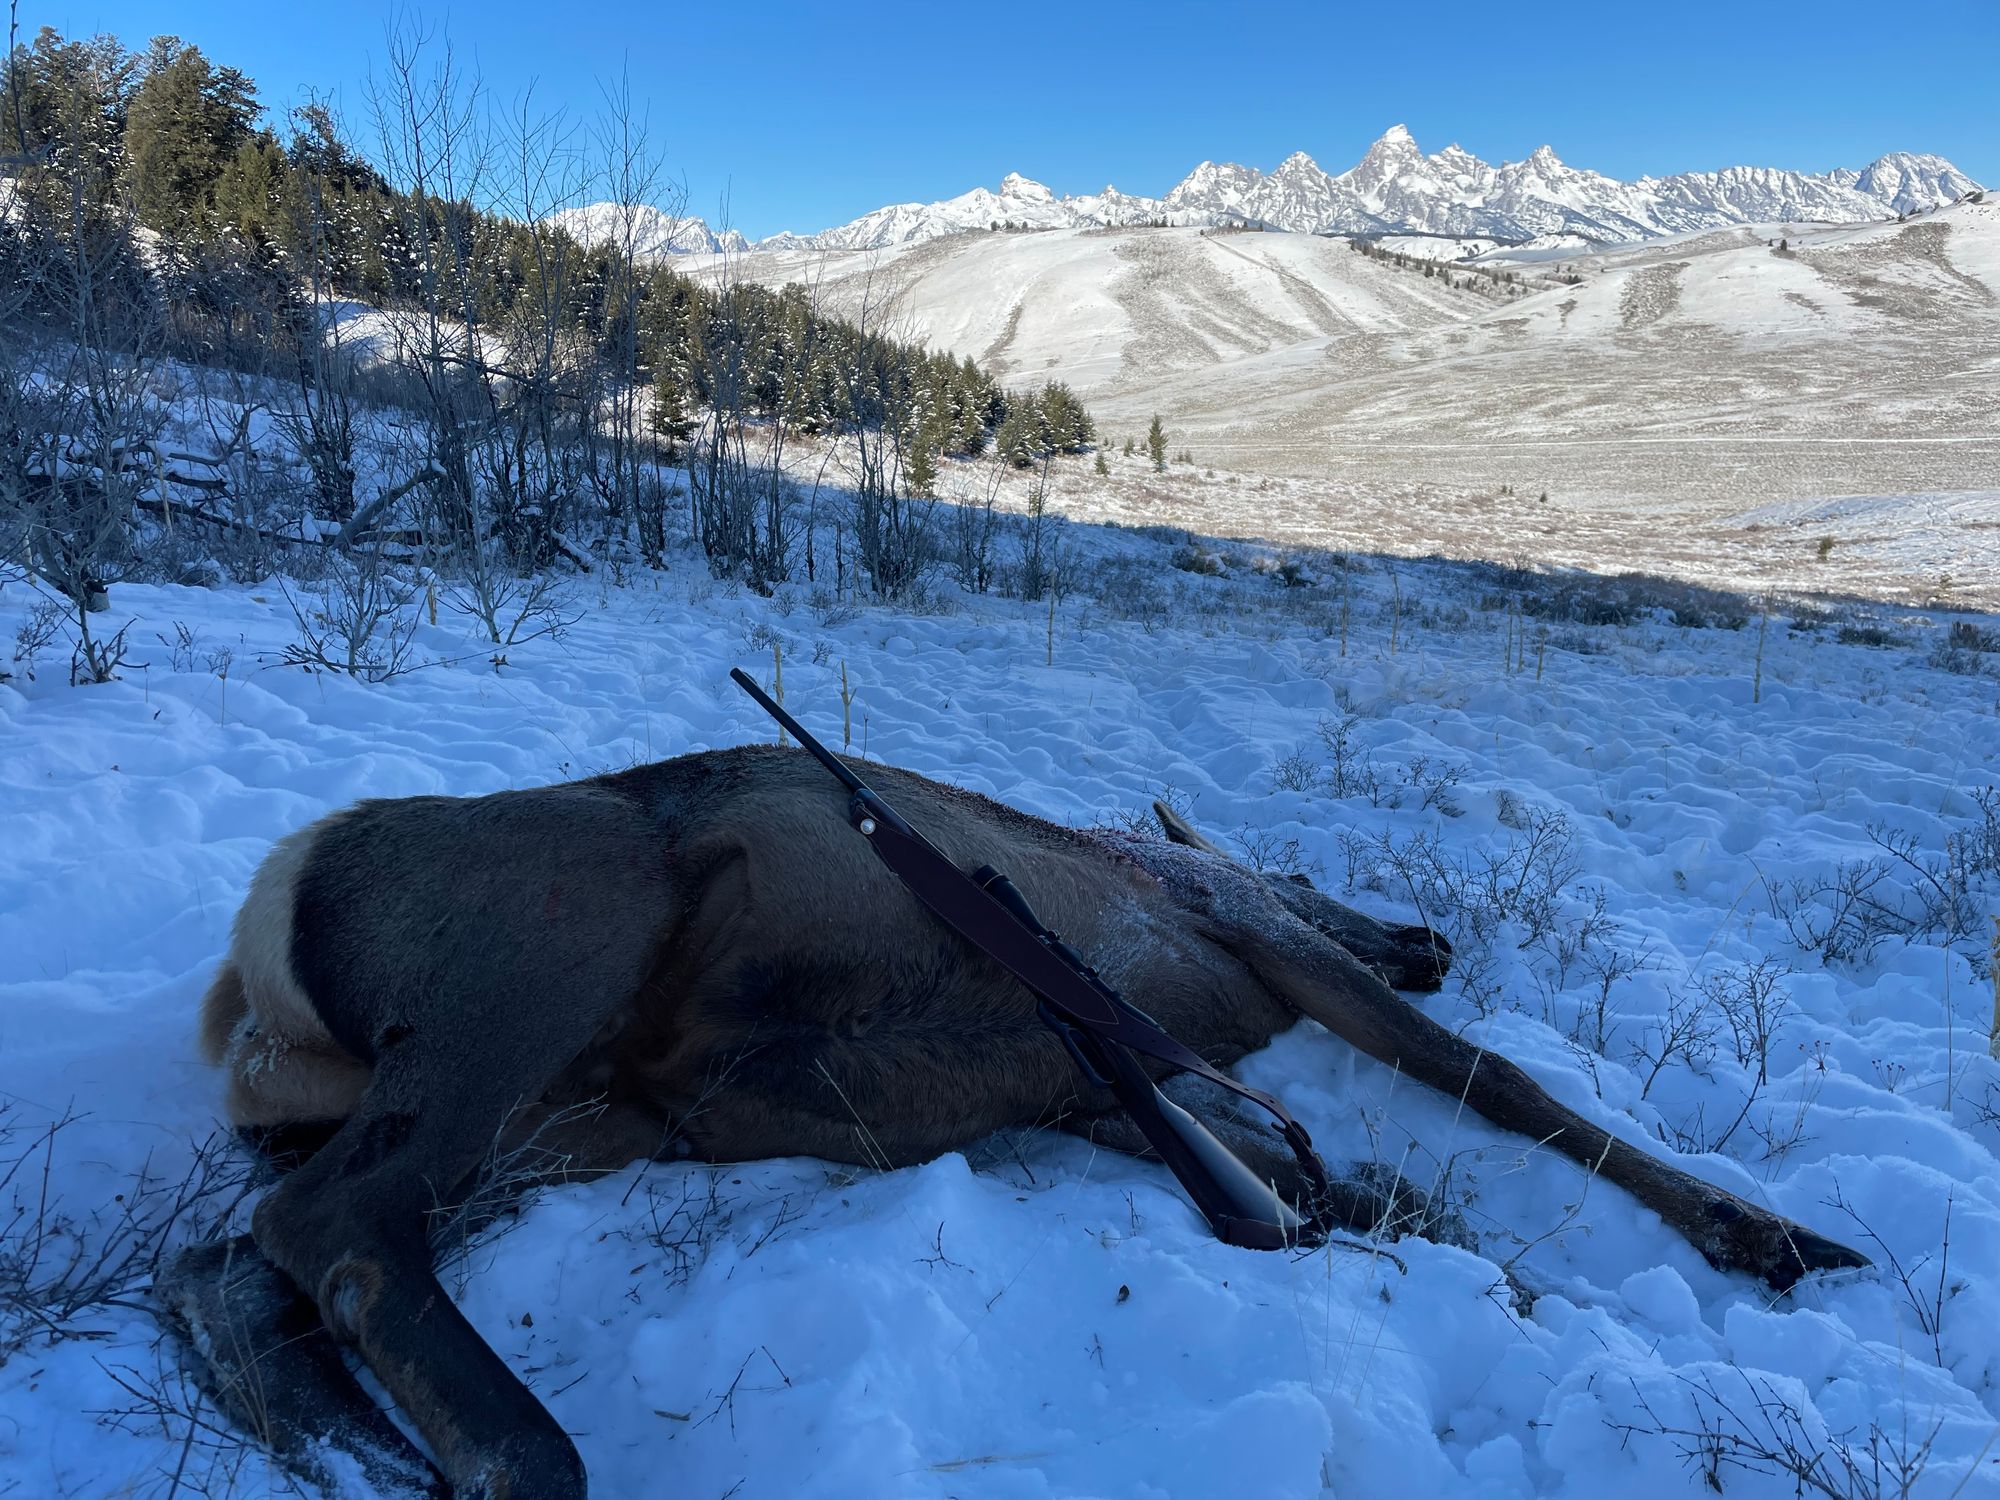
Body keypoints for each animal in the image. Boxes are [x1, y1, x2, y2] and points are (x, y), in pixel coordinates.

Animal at [156, 748, 1856, 1500]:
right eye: (1308, 868)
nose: (1427, 934)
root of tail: (250, 977)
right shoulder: (1239, 936)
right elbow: (1497, 1086)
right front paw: (1768, 1234)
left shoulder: (1089, 1074)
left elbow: (1332, 1189)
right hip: (554, 950)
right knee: (324, 1228)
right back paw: (509, 1459)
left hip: (573, 1122)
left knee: (229, 1263)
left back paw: (362, 1456)